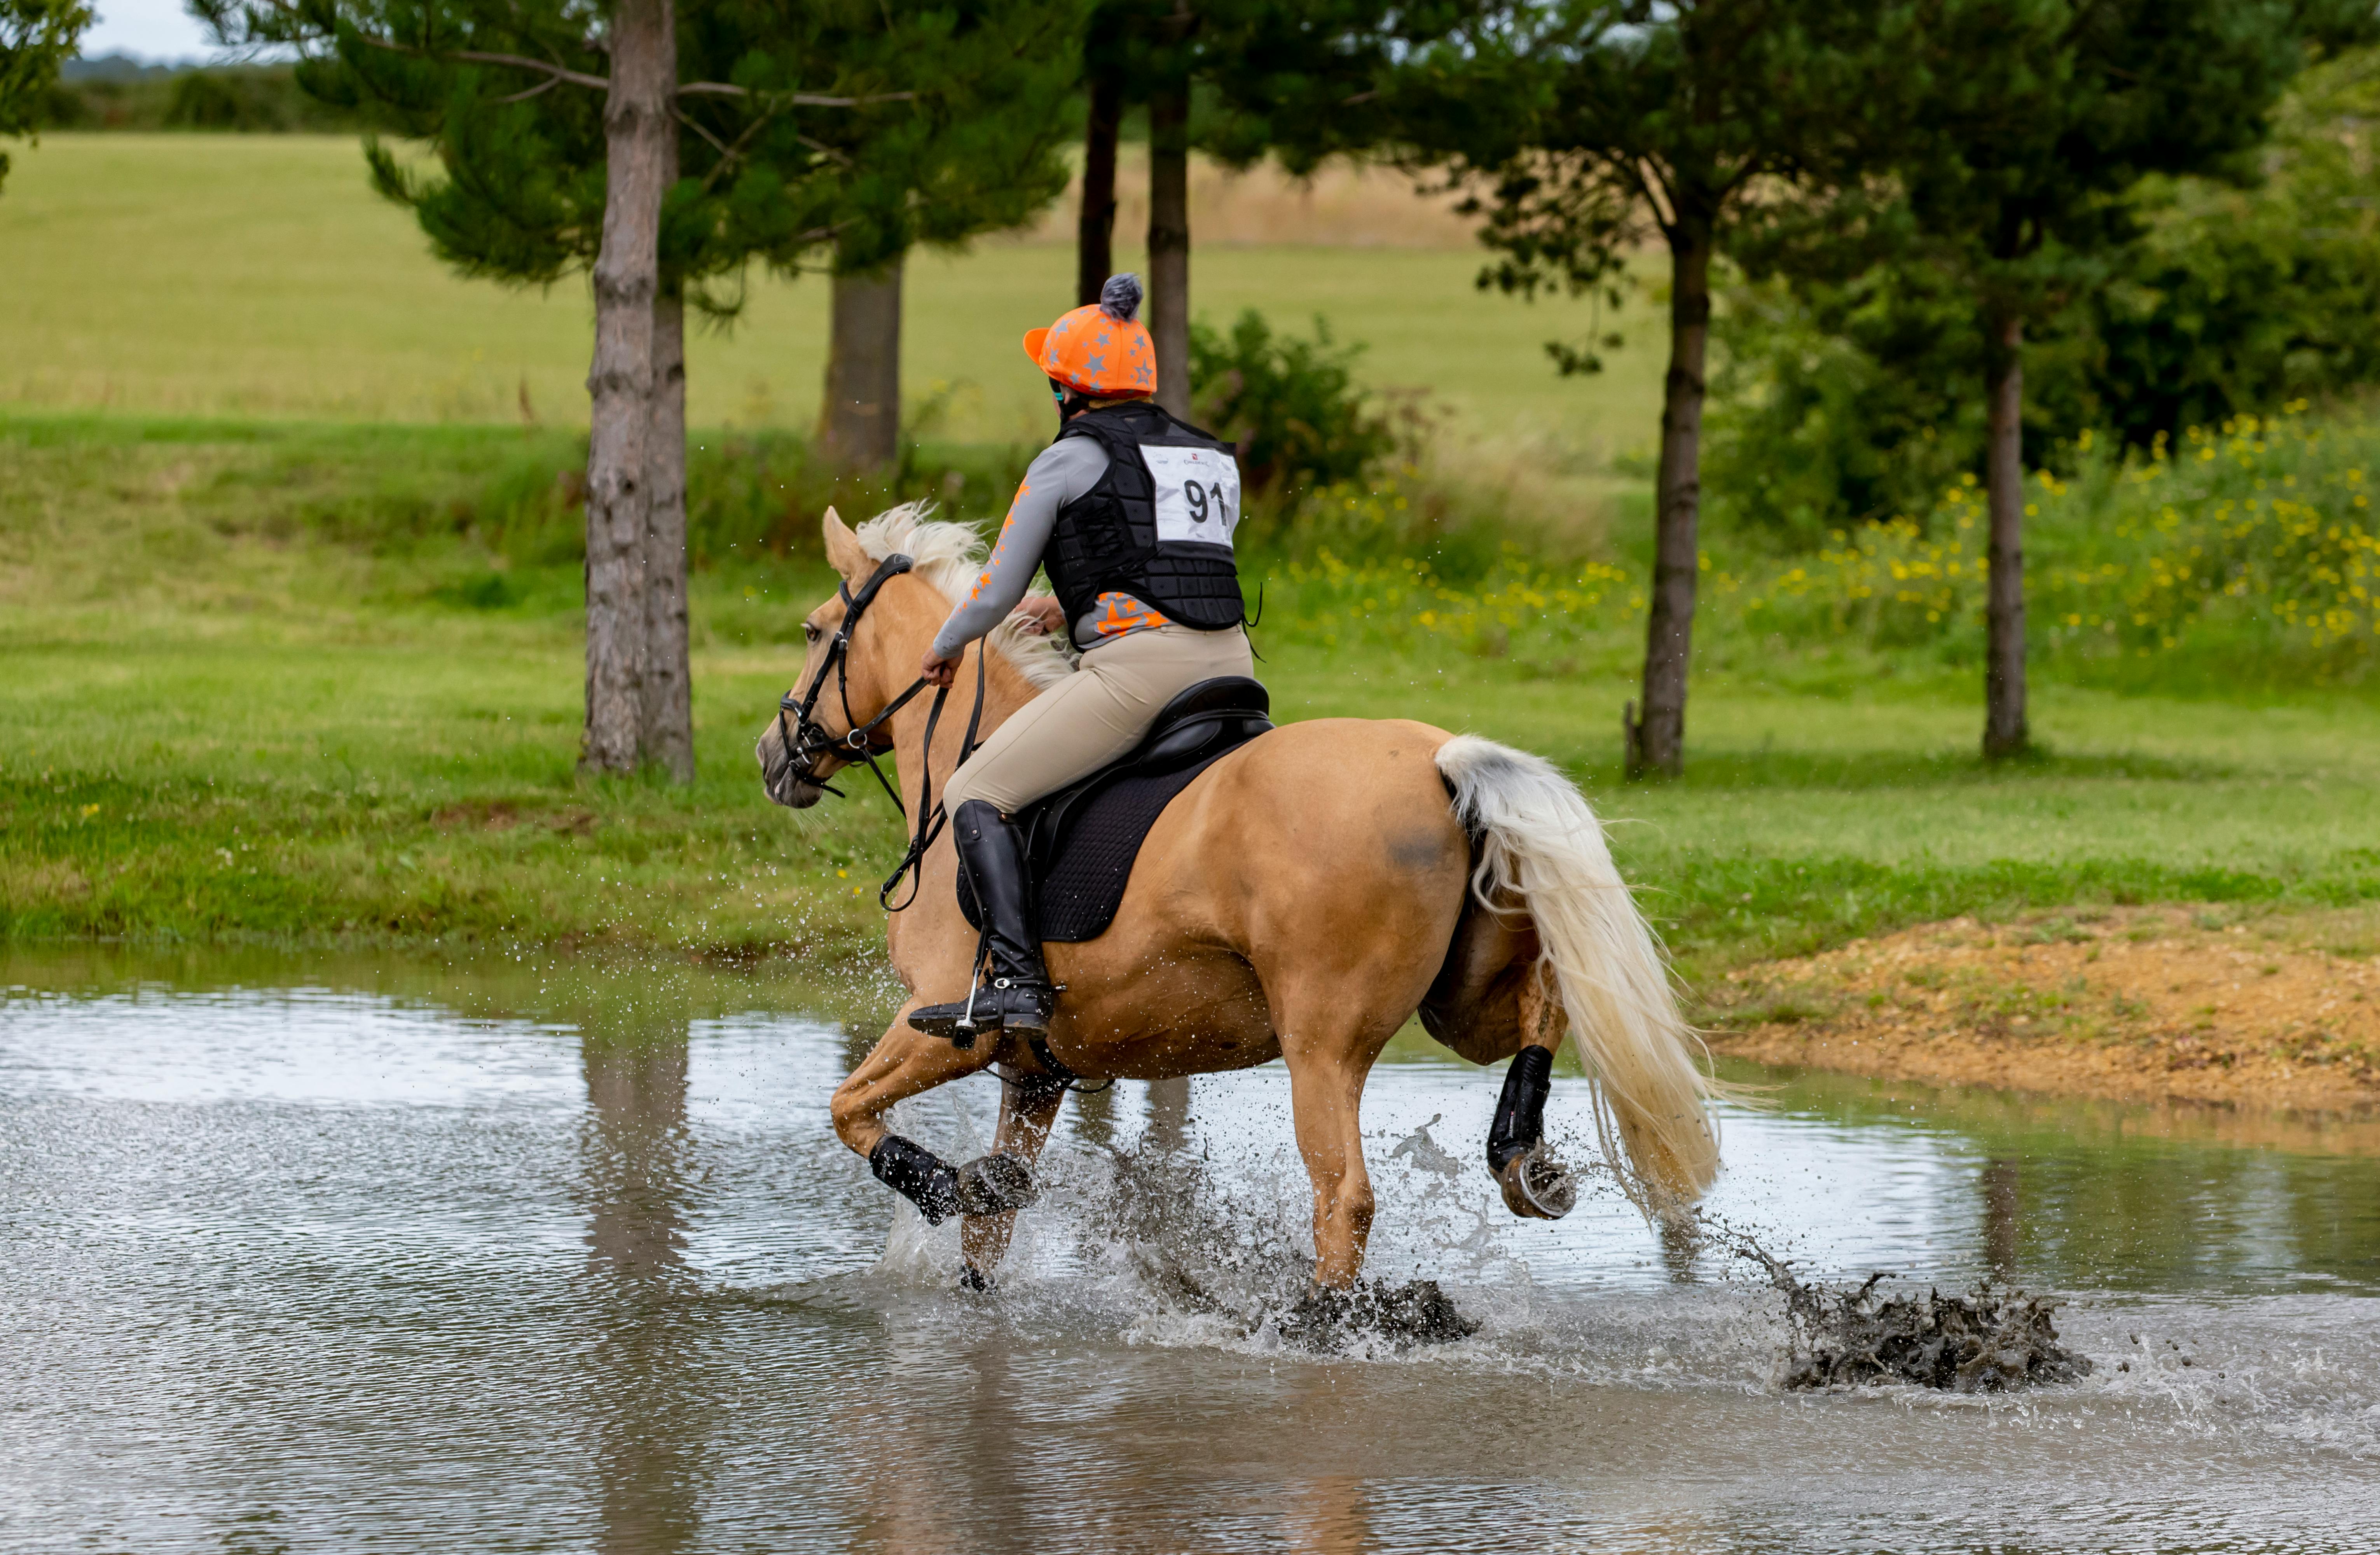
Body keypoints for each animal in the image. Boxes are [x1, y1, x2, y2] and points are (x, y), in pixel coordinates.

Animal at [761, 507, 1713, 1286]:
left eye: (813, 632)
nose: (775, 756)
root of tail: (1440, 762)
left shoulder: (945, 1024)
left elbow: (848, 1109)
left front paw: (941, 1182)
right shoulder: (1037, 1073)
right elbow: (987, 1231)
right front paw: (981, 1211)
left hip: (1321, 1042)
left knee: (1344, 1196)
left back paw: (1324, 1321)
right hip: (1460, 1003)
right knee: (1542, 1011)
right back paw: (1521, 1157)